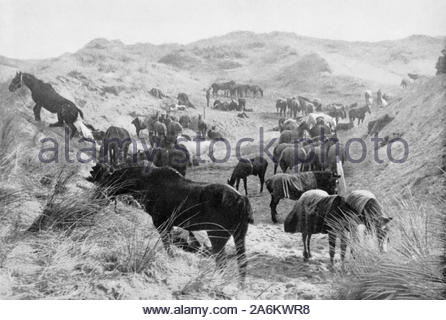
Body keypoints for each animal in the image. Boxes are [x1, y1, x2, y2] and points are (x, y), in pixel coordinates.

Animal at [87, 164, 254, 284]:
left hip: (217, 234)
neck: (141, 185)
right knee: (242, 262)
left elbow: (168, 247)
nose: (96, 197)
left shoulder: (161, 222)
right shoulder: (169, 225)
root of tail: (242, 200)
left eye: (106, 180)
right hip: (239, 233)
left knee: (222, 261)